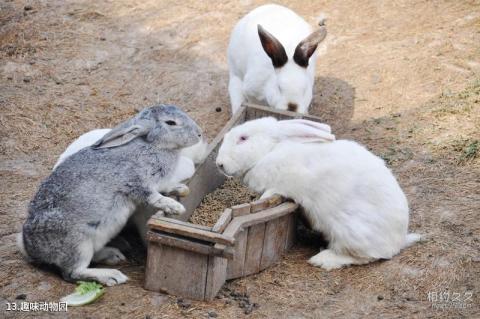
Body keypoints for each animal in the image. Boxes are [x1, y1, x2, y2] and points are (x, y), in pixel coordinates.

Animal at [17, 105, 202, 288]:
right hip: (78, 243)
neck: (152, 145)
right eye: (171, 122)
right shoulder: (135, 183)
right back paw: (112, 276)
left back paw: (113, 255)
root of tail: (30, 247)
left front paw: (181, 189)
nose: (199, 133)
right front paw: (175, 206)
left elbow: (166, 186)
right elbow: (152, 197)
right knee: (73, 272)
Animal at [216, 119, 422, 272]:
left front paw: (260, 199)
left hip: (349, 232)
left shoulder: (282, 184)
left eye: (243, 138)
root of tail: (398, 240)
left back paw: (323, 259)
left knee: (366, 257)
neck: (269, 151)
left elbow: (271, 192)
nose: (219, 164)